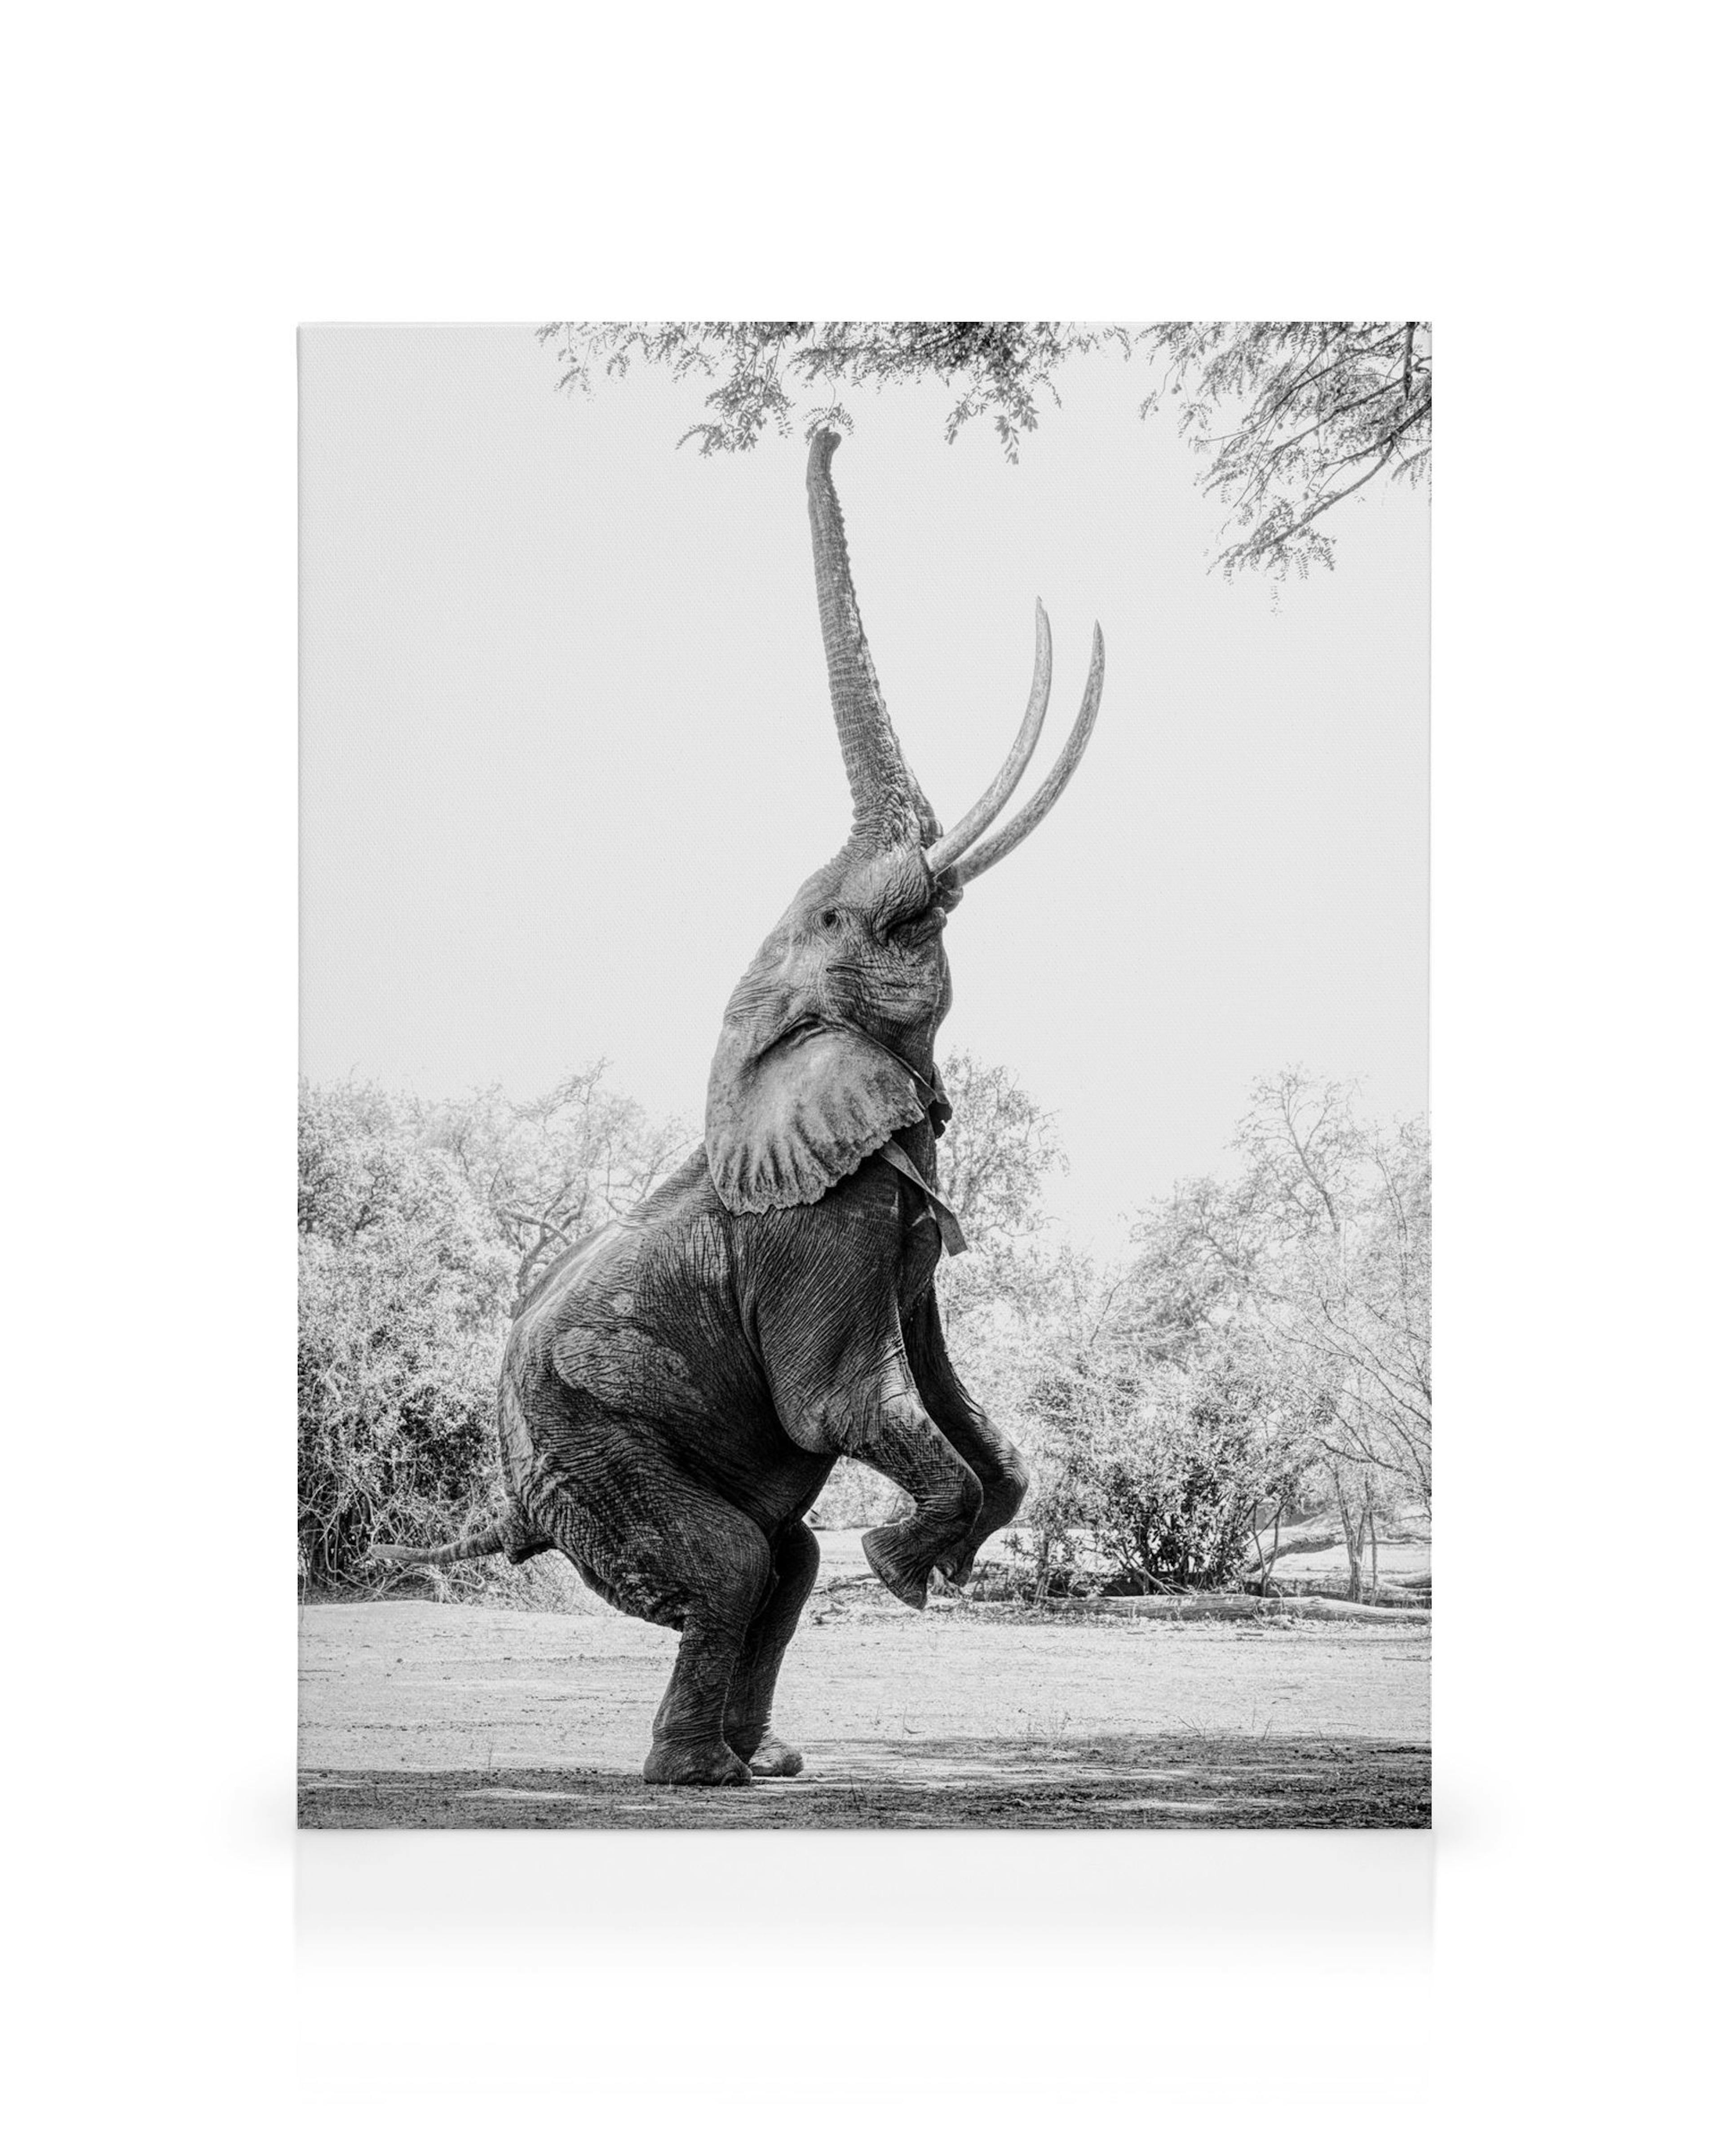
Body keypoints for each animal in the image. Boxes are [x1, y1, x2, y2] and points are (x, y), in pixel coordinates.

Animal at [372, 430, 1105, 1786]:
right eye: (844, 915)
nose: (826, 424)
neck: (768, 1042)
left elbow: (951, 1391)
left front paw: (941, 1557)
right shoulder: (818, 1226)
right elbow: (839, 1404)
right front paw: (906, 1570)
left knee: (785, 1562)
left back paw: (766, 1765)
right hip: (591, 1445)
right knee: (733, 1560)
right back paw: (696, 1775)